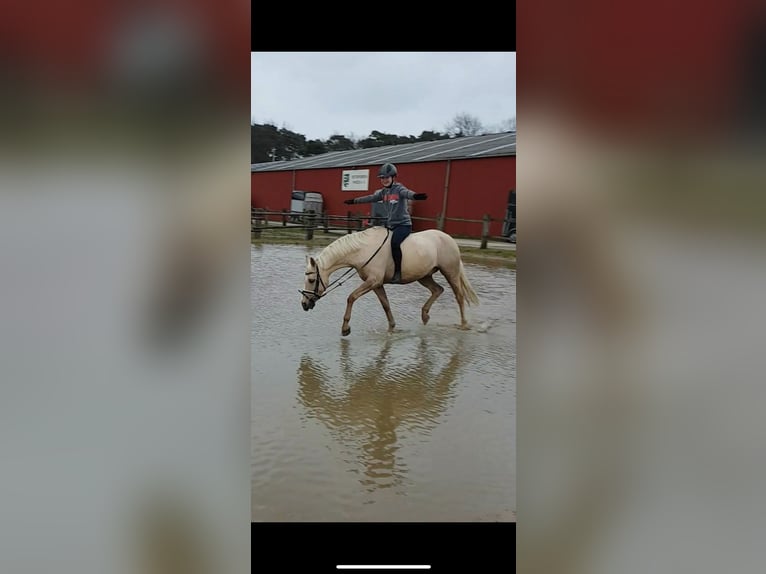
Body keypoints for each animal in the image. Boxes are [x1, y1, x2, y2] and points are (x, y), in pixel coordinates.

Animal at [300, 227, 480, 338]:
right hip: (423, 276)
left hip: (450, 272)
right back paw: (425, 316)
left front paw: (345, 329)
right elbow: (385, 305)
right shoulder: (377, 284)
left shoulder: (373, 281)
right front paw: (392, 328)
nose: (304, 304)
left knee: (459, 296)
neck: (363, 251)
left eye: (311, 280)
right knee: (438, 290)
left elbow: (351, 297)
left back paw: (463, 324)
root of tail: (448, 238)